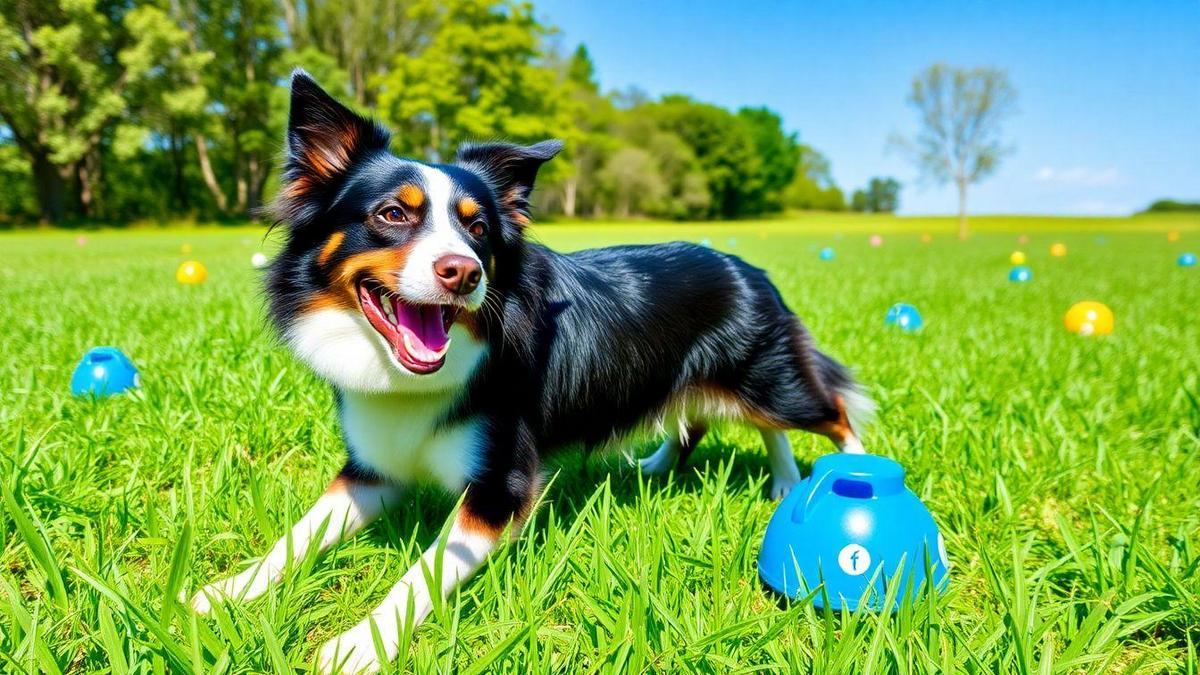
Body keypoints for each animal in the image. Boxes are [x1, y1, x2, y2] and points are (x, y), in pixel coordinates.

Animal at [187, 69, 868, 672]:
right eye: (392, 215)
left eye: (477, 226)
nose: (464, 272)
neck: (411, 376)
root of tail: (750, 268)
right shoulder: (373, 468)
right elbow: (300, 533)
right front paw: (228, 591)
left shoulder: (500, 487)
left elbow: (421, 573)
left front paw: (358, 645)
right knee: (706, 420)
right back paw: (703, 472)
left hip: (769, 378)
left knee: (828, 412)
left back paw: (842, 475)